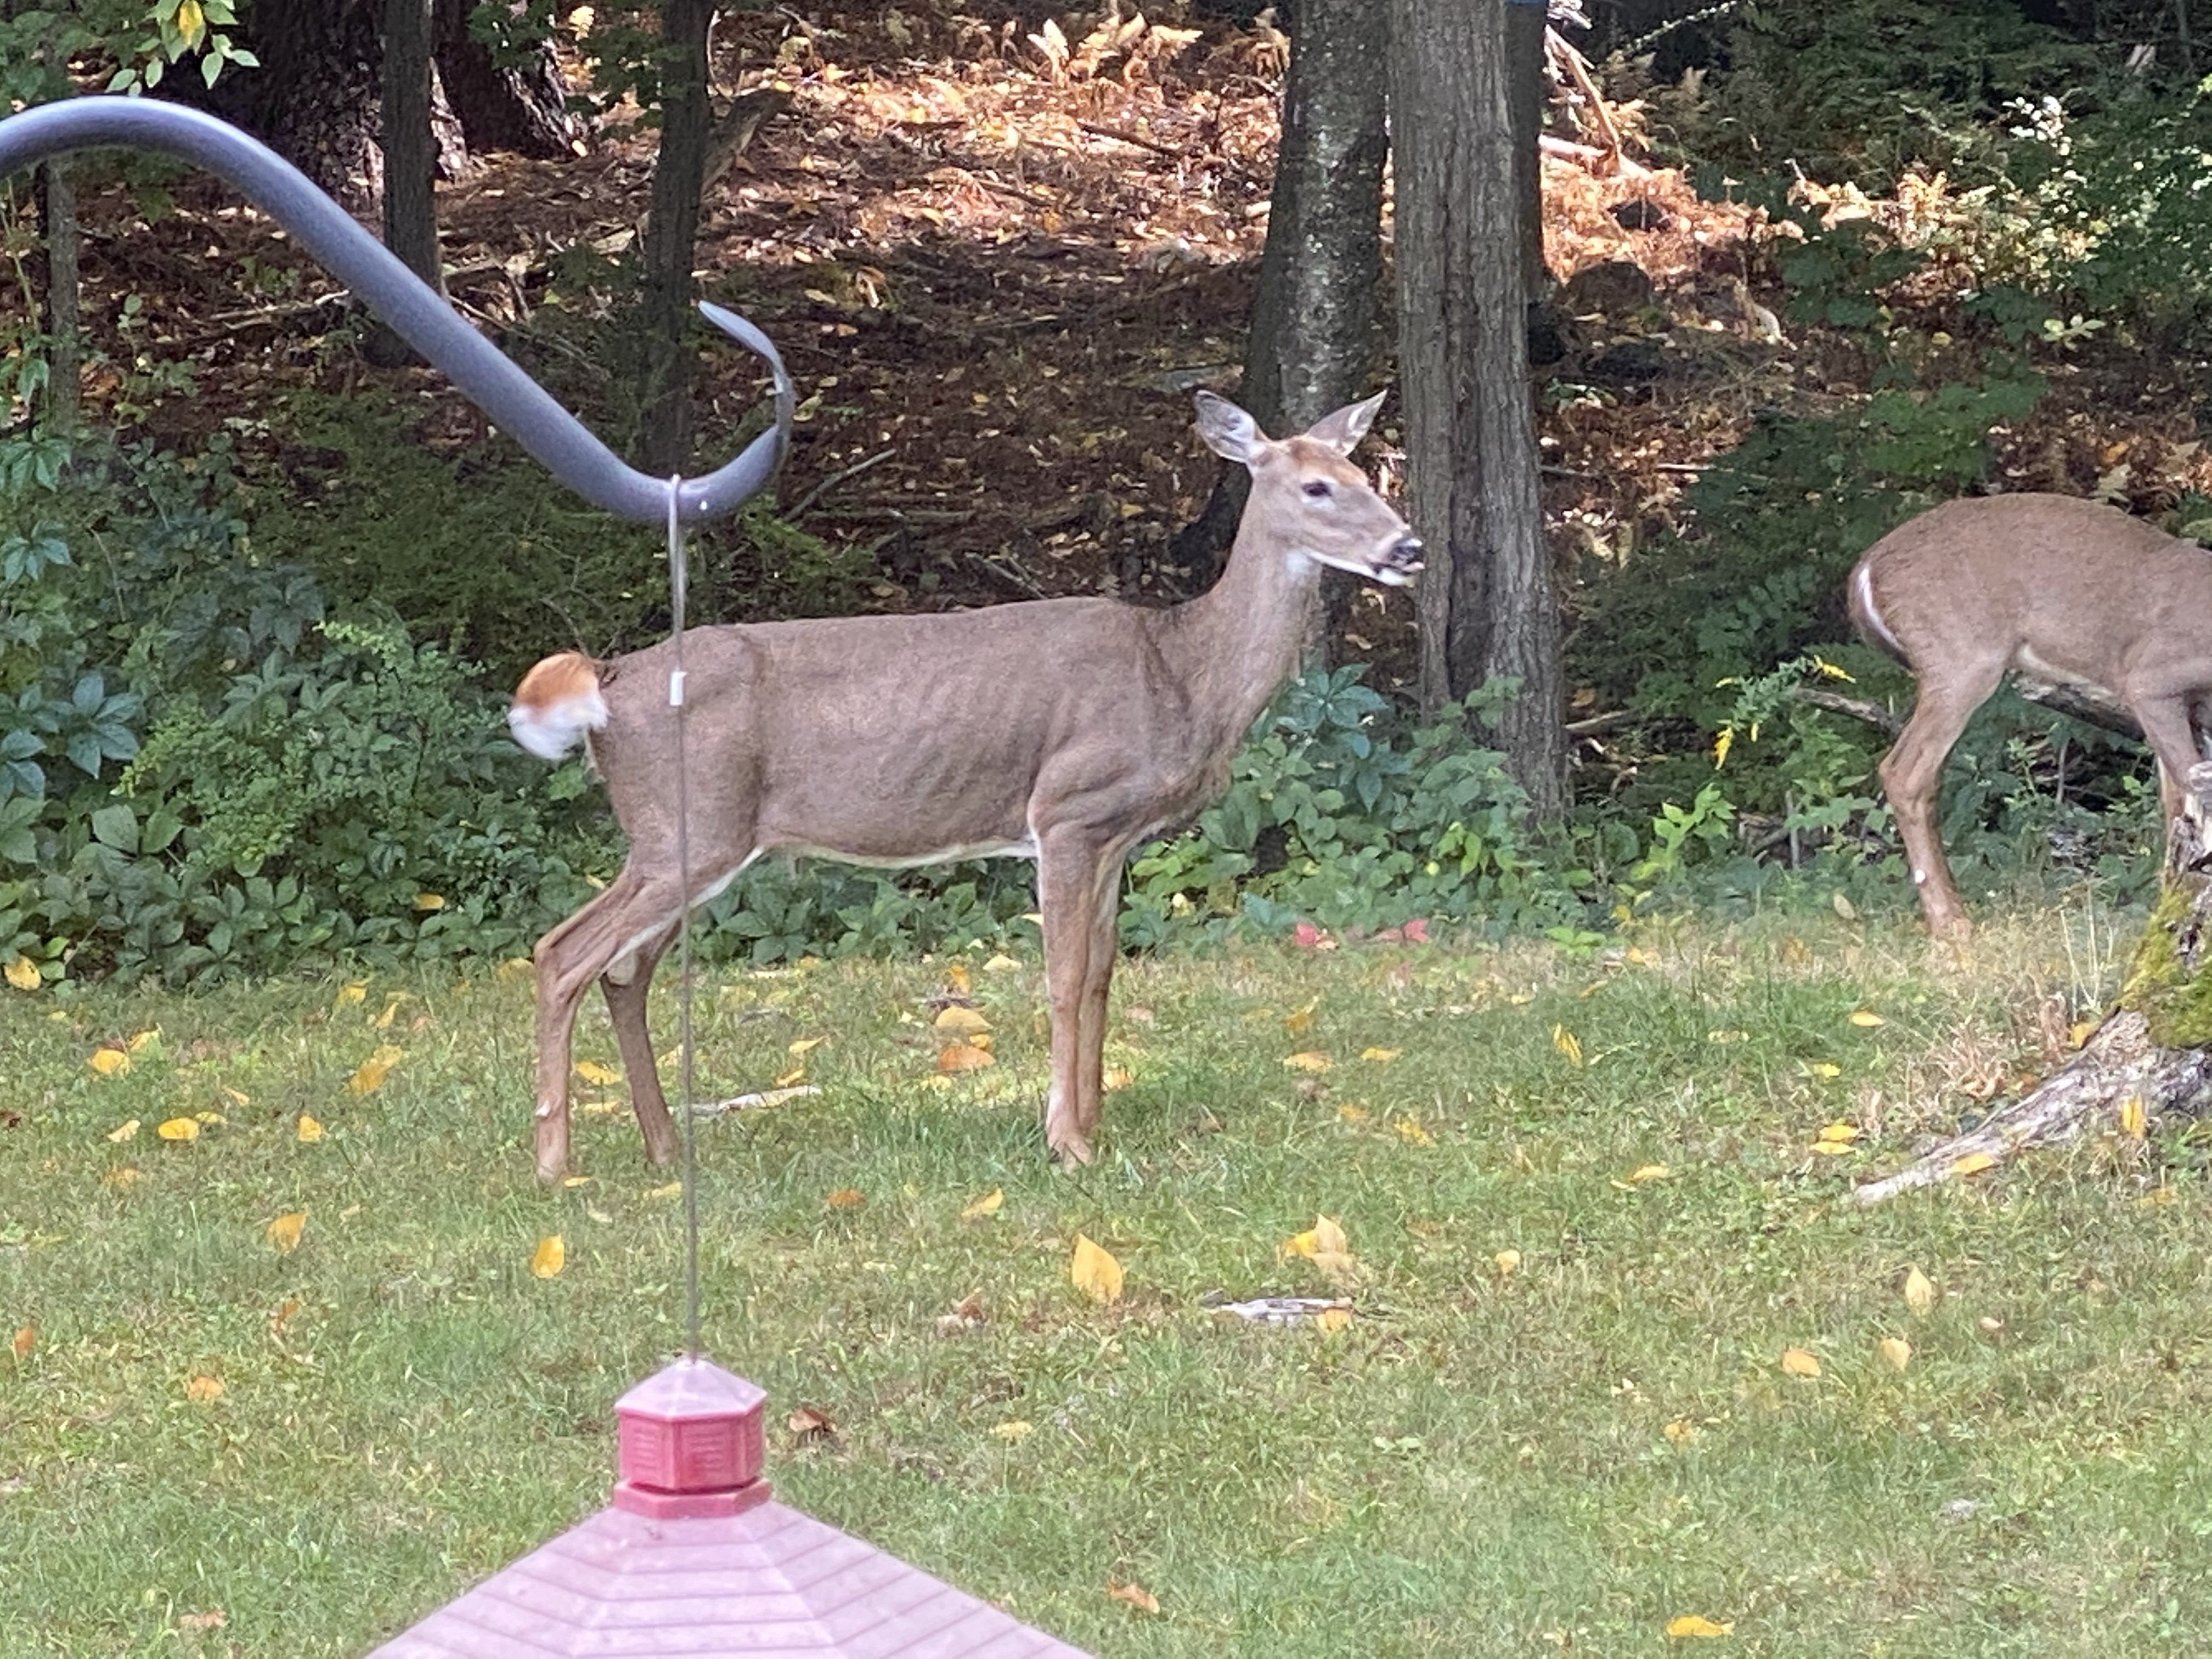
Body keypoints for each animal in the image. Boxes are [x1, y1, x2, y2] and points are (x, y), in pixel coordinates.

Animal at [508, 391, 1421, 1182]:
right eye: (1316, 486)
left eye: (1365, 476)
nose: (1408, 547)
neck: (1183, 675)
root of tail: (608, 683)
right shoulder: (1066, 811)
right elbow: (1061, 978)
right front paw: (1067, 1143)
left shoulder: (1116, 835)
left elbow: (1101, 973)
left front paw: (1095, 1122)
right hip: (685, 830)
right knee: (562, 954)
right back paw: (555, 1166)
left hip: (699, 840)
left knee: (624, 971)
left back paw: (664, 1150)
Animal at [1848, 491, 2212, 938]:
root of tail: (1865, 569)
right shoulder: (2149, 679)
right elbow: (2189, 785)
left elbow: (2175, 801)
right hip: (1962, 660)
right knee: (1904, 773)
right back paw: (1951, 923)